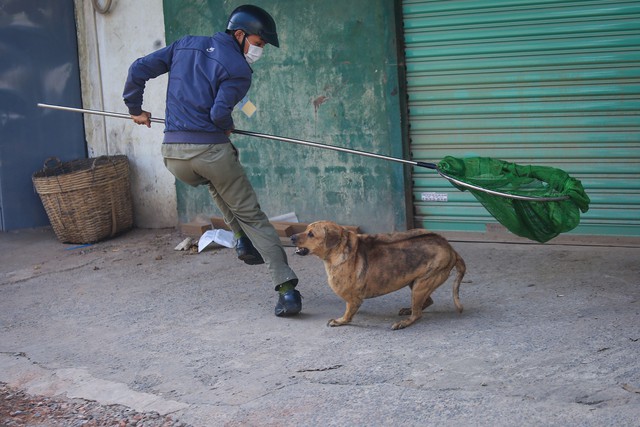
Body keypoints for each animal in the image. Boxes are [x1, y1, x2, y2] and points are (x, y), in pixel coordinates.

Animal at [290, 222, 464, 330]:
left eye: (311, 234)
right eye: (305, 229)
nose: (291, 237)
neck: (340, 248)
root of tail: (451, 250)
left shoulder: (353, 299)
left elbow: (348, 313)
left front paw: (340, 321)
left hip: (422, 284)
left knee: (418, 314)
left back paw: (404, 322)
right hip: (415, 282)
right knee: (427, 302)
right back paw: (408, 310)